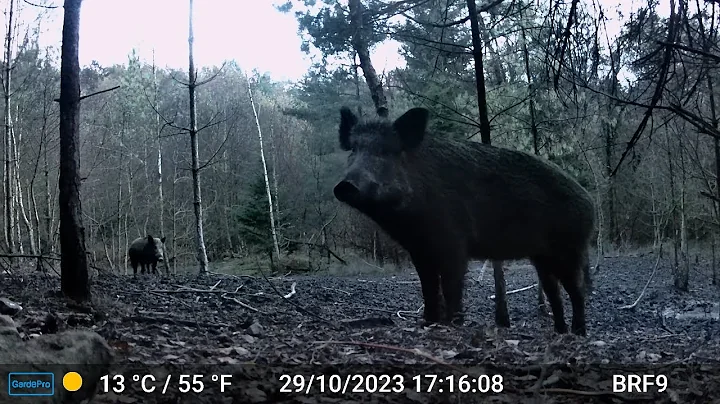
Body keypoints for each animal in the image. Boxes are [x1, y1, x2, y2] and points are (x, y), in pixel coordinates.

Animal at [333, 107, 595, 336]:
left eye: (387, 151)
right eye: (353, 149)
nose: (345, 185)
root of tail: (589, 202)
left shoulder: (454, 242)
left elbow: (452, 285)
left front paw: (452, 323)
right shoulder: (419, 250)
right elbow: (428, 286)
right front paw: (428, 322)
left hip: (570, 248)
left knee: (577, 290)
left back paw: (579, 333)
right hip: (541, 257)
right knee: (554, 292)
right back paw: (560, 332)